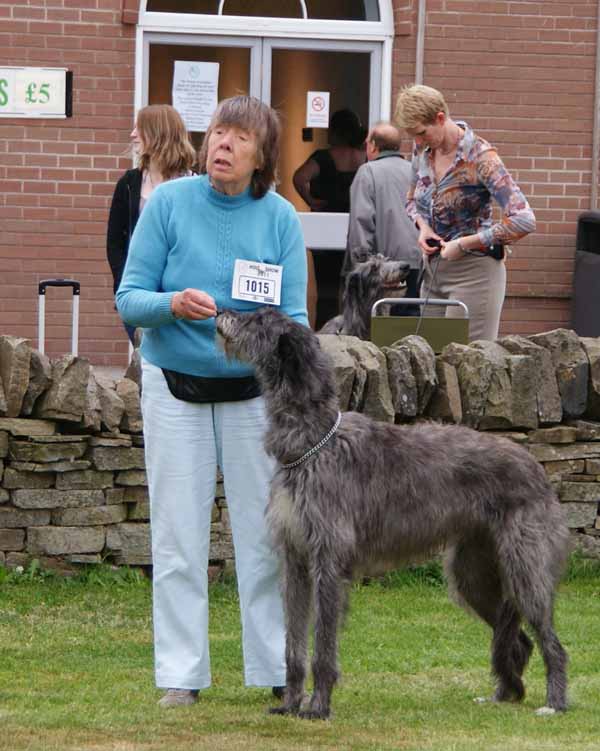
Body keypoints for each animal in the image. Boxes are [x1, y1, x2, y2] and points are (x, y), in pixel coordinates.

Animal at [216, 306, 568, 724]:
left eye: (257, 318)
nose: (221, 311)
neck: (315, 442)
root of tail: (536, 467)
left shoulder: (328, 561)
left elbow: (323, 645)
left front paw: (318, 707)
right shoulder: (296, 559)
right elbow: (293, 645)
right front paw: (289, 704)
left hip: (523, 566)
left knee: (550, 640)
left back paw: (554, 702)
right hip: (473, 573)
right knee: (517, 638)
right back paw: (504, 694)